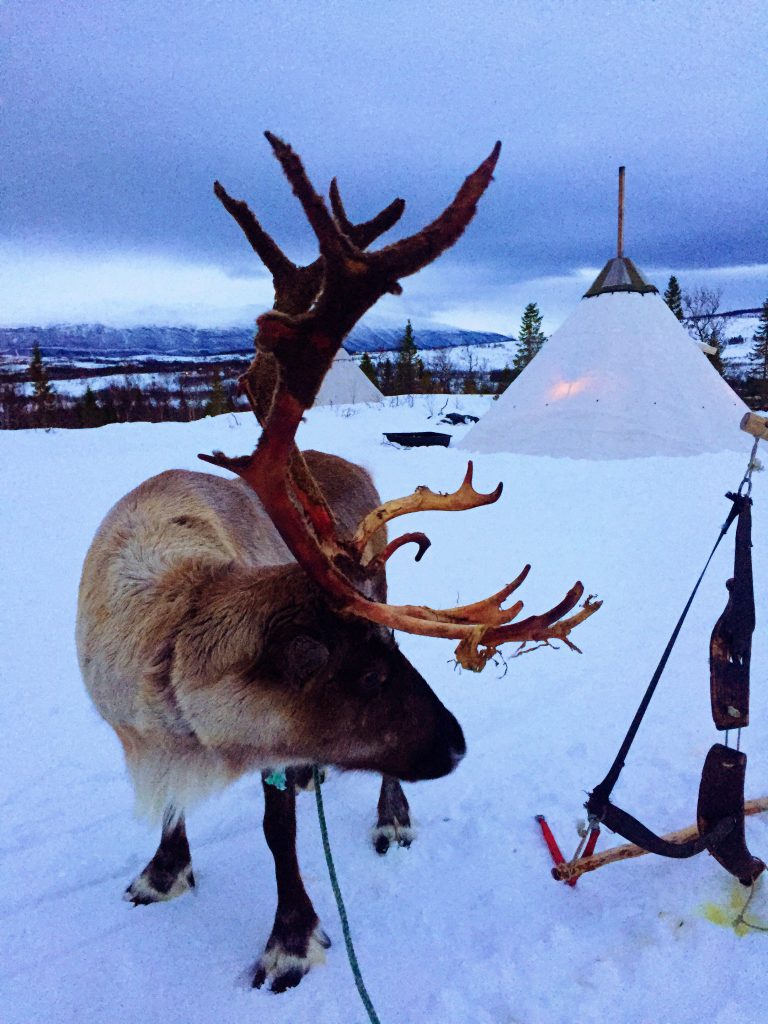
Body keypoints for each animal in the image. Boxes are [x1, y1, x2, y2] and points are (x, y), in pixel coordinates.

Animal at [76, 133, 601, 993]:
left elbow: (278, 835)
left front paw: (291, 939)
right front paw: (163, 870)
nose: (457, 745)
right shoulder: (142, 734)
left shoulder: (271, 753)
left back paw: (391, 817)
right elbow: (175, 810)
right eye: (367, 676)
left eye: (390, 656)